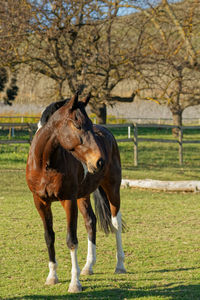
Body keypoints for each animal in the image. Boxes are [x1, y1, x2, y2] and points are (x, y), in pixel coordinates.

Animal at [25, 91, 126, 292]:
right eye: (78, 125)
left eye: (88, 125)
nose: (99, 161)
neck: (45, 164)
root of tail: (108, 133)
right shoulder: (40, 202)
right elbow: (49, 237)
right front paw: (52, 277)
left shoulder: (68, 200)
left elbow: (71, 240)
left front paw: (74, 283)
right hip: (84, 195)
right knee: (90, 221)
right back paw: (88, 266)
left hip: (112, 188)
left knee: (115, 222)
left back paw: (120, 265)